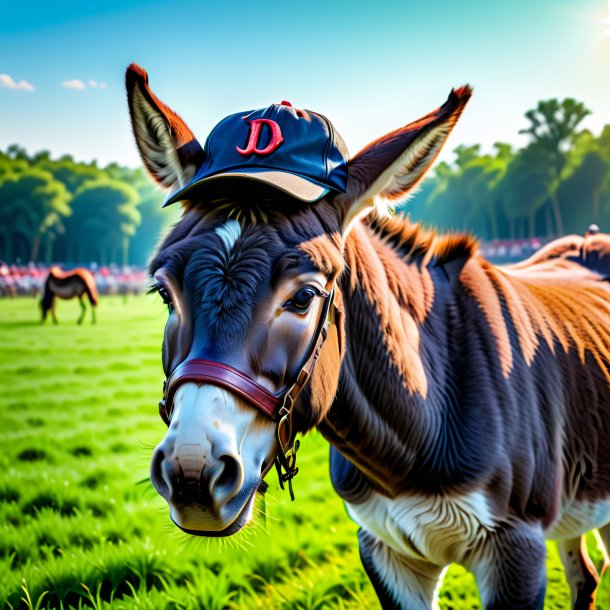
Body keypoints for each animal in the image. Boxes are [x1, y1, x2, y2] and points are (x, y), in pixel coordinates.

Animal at [124, 63, 608, 608]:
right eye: (165, 294)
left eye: (304, 297)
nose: (191, 472)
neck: (413, 443)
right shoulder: (385, 550)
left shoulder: (516, 548)